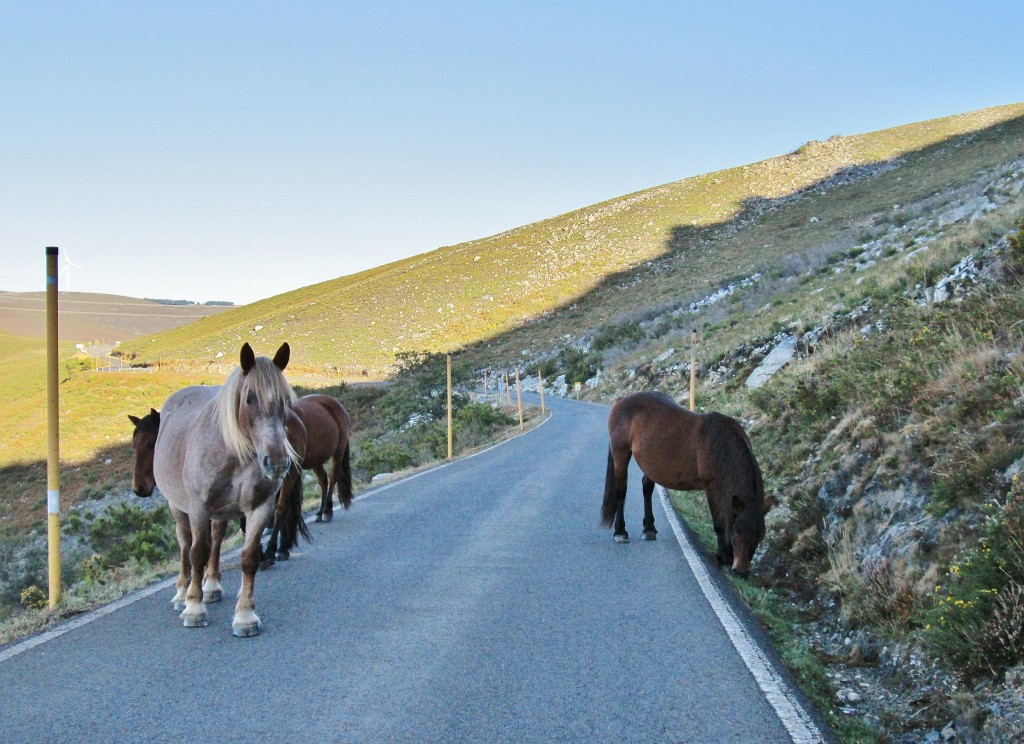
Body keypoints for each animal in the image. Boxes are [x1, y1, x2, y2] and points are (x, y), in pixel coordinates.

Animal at [150, 339, 303, 638]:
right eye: (249, 398)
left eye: (285, 401)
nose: (277, 462)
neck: (233, 455)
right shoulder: (198, 508)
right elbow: (197, 552)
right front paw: (194, 609)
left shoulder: (260, 507)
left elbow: (248, 558)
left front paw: (245, 616)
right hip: (178, 507)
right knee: (185, 546)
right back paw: (181, 594)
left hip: (220, 513)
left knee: (217, 541)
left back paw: (211, 586)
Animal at [598, 392, 774, 577]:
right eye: (737, 531)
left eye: (759, 536)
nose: (740, 571)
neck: (721, 446)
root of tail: (622, 402)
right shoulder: (712, 489)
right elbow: (719, 523)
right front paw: (723, 557)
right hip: (621, 454)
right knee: (621, 491)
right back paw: (620, 532)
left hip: (652, 465)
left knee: (647, 488)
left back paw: (649, 529)